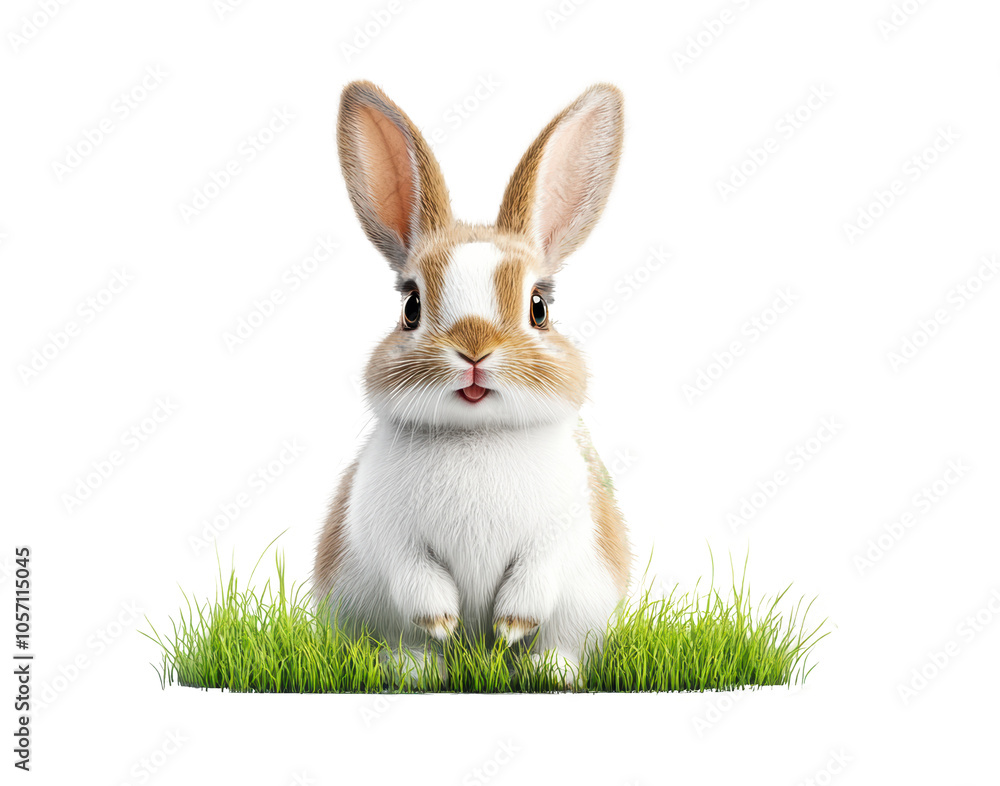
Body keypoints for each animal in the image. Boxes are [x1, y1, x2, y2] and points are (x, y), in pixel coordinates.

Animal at [312, 80, 631, 686]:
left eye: (539, 307)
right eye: (411, 306)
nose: (475, 349)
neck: (477, 435)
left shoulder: (566, 529)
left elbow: (539, 573)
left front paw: (508, 628)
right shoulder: (385, 529)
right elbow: (412, 574)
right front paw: (443, 623)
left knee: (564, 643)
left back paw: (548, 674)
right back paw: (417, 671)